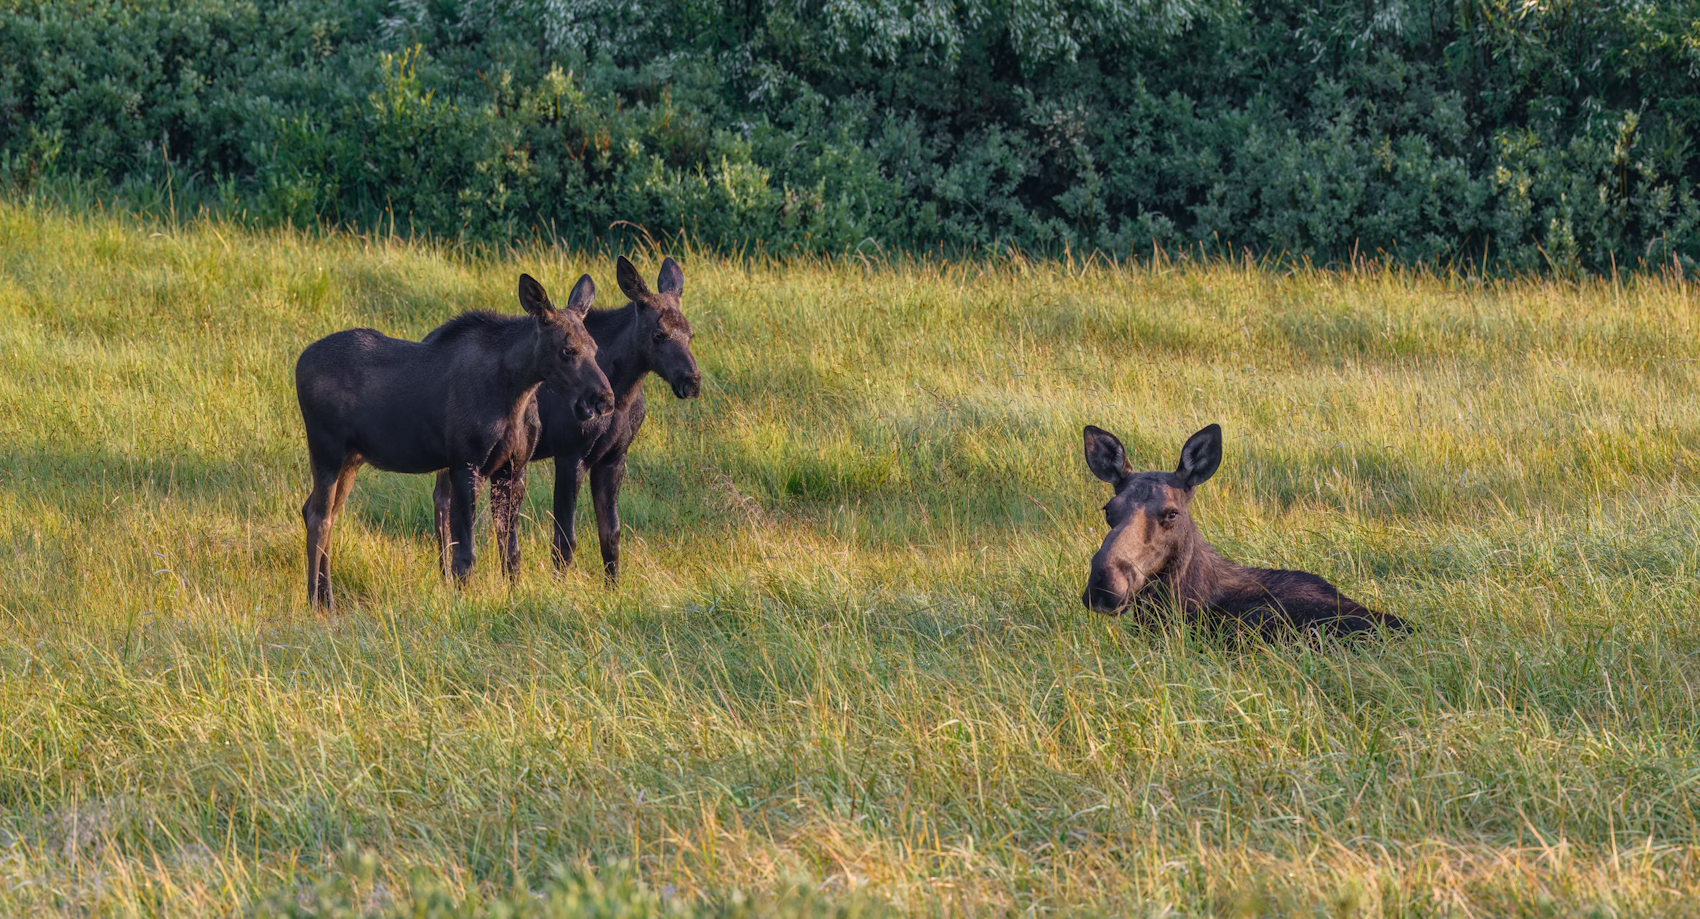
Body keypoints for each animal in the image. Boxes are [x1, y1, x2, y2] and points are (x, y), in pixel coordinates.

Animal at [438, 253, 710, 580]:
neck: (623, 393)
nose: (691, 382)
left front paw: (613, 586)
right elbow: (565, 539)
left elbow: (611, 535)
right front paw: (560, 588)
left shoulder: (614, 457)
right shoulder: (570, 453)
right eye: (659, 334)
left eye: (691, 334)